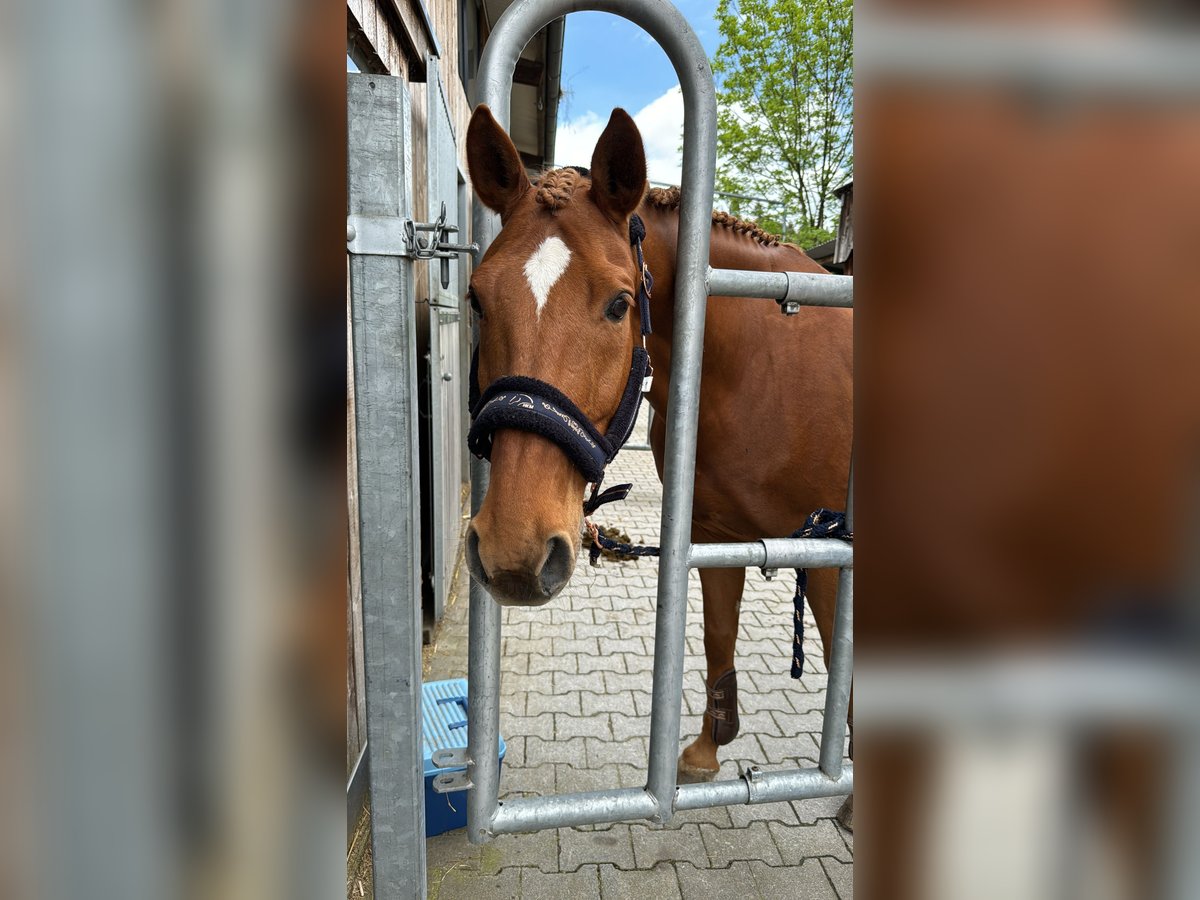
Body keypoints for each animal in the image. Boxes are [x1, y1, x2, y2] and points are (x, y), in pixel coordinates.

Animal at [460, 103, 854, 782]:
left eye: (620, 304)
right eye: (477, 299)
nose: (514, 552)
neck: (758, 371)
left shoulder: (832, 556)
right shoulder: (715, 534)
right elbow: (719, 635)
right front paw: (705, 750)